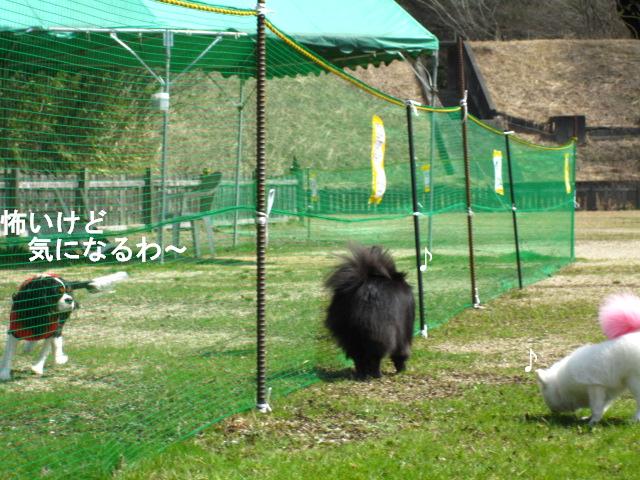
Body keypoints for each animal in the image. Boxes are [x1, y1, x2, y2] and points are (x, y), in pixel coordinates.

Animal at [324, 244, 415, 379]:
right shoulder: (404, 330)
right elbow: (400, 352)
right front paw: (401, 368)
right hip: (380, 332)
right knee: (375, 356)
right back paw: (377, 375)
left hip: (348, 332)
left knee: (358, 356)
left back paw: (362, 375)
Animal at [536, 293, 640, 425]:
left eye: (545, 395)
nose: (552, 412)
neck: (563, 382)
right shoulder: (607, 391)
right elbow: (602, 407)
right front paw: (591, 419)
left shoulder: (594, 386)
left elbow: (596, 407)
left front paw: (592, 423)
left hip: (634, 381)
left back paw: (635, 419)